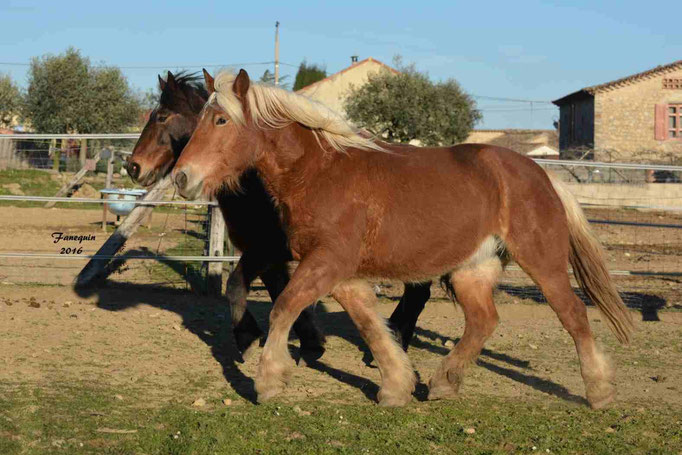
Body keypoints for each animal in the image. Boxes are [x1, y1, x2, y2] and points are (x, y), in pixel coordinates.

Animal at [128, 72, 432, 364]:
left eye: (162, 116)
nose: (133, 166)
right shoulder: (267, 253)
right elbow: (275, 289)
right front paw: (309, 341)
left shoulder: (269, 249)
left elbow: (239, 286)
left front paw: (251, 339)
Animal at [170, 69, 632, 408]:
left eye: (221, 120)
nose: (181, 178)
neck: (319, 172)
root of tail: (542, 175)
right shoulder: (342, 274)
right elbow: (371, 326)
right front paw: (396, 386)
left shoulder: (327, 263)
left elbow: (284, 307)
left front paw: (268, 380)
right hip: (471, 269)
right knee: (484, 321)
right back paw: (444, 383)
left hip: (542, 262)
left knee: (573, 314)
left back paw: (600, 392)